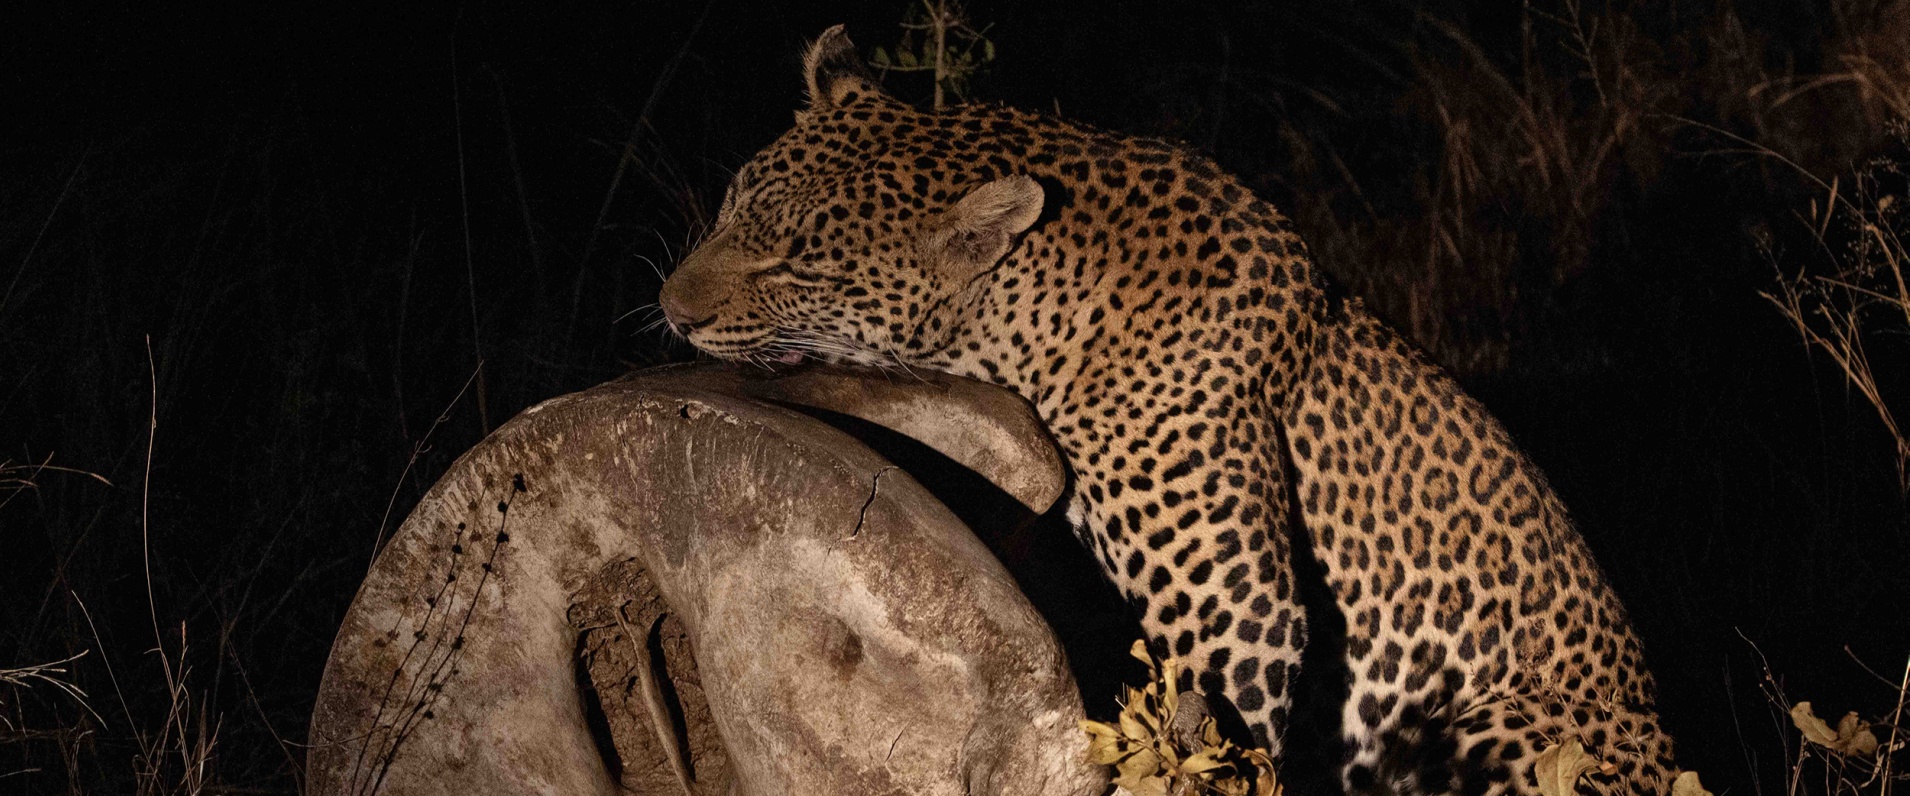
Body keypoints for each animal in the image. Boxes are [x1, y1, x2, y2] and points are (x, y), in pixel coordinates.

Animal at [657, 26, 1681, 795]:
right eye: (731, 206)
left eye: (795, 266)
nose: (672, 308)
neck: (1036, 312)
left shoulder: (1239, 621)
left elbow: (1206, 747)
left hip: (1506, 722)